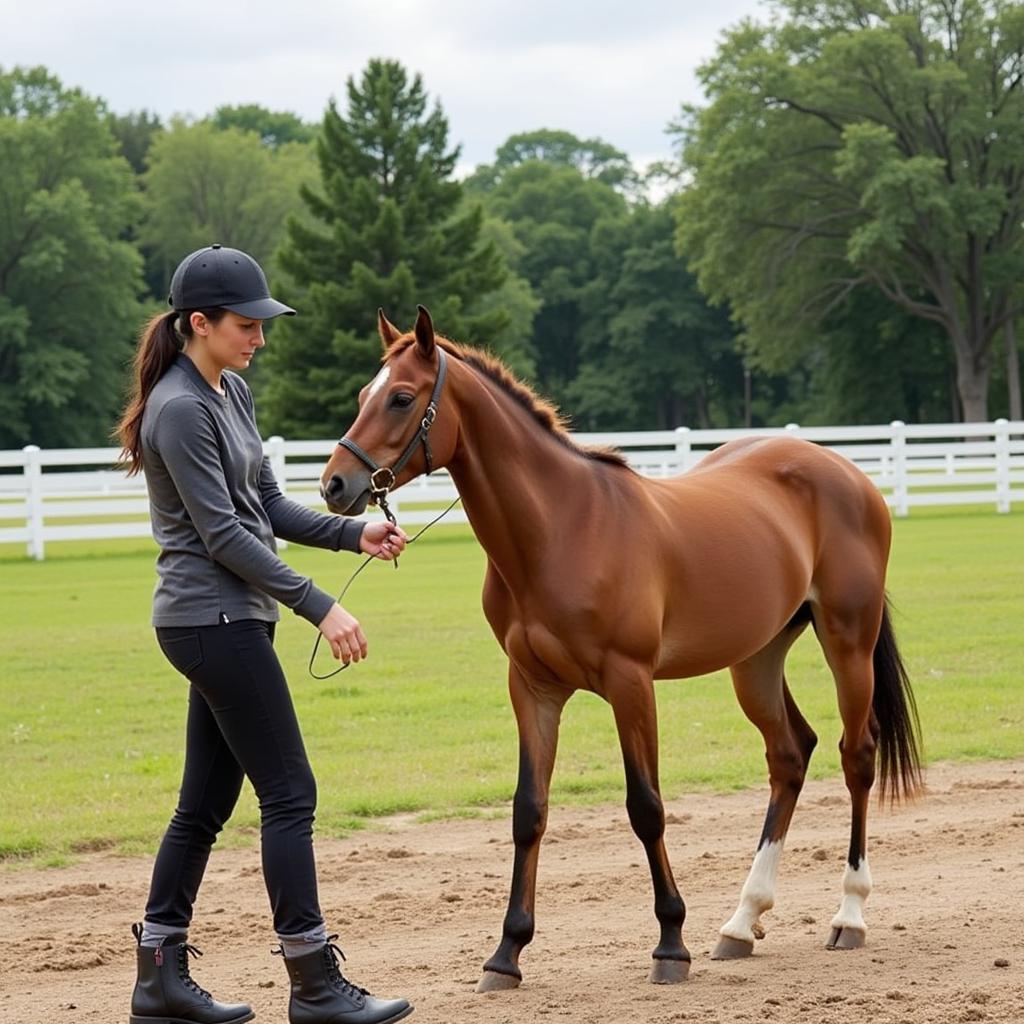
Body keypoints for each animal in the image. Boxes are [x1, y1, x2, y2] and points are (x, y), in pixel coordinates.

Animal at [317, 305, 921, 991]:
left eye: (400, 397)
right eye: (362, 396)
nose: (335, 484)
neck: (562, 528)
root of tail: (846, 472)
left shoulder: (629, 683)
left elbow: (646, 806)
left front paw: (670, 945)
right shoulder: (532, 687)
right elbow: (529, 811)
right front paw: (506, 953)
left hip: (848, 640)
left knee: (857, 756)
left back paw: (849, 914)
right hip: (756, 659)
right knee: (790, 755)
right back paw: (742, 922)